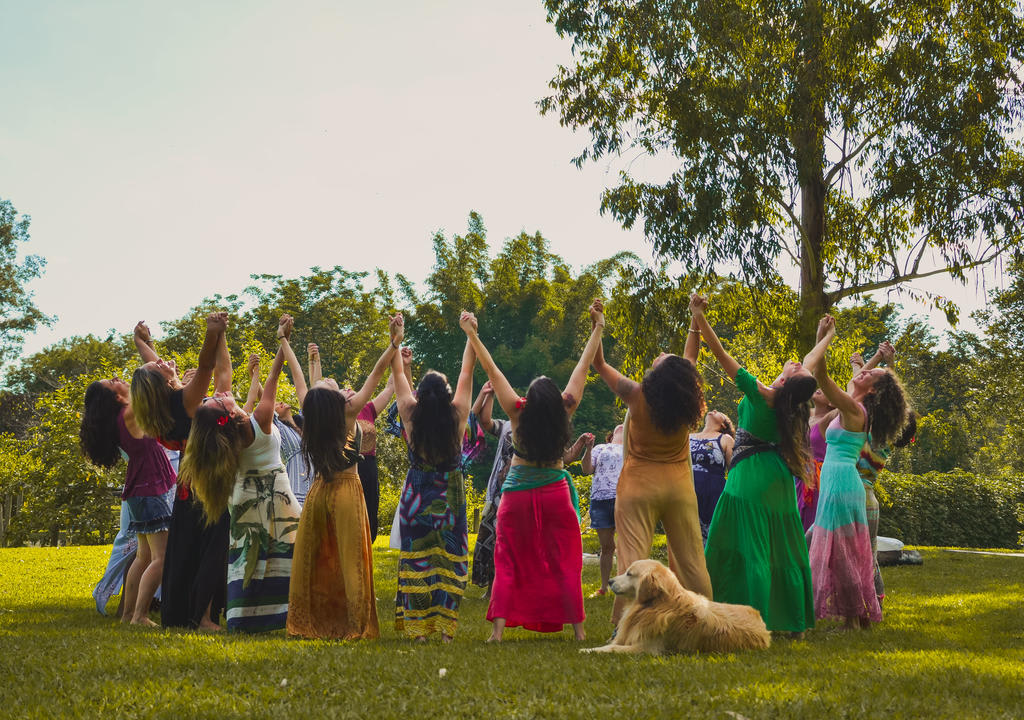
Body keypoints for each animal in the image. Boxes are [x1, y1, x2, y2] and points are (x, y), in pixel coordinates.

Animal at [581, 561, 770, 655]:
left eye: (629, 573)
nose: (610, 581)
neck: (656, 605)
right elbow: (614, 642)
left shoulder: (647, 649)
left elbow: (612, 648)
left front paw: (587, 650)